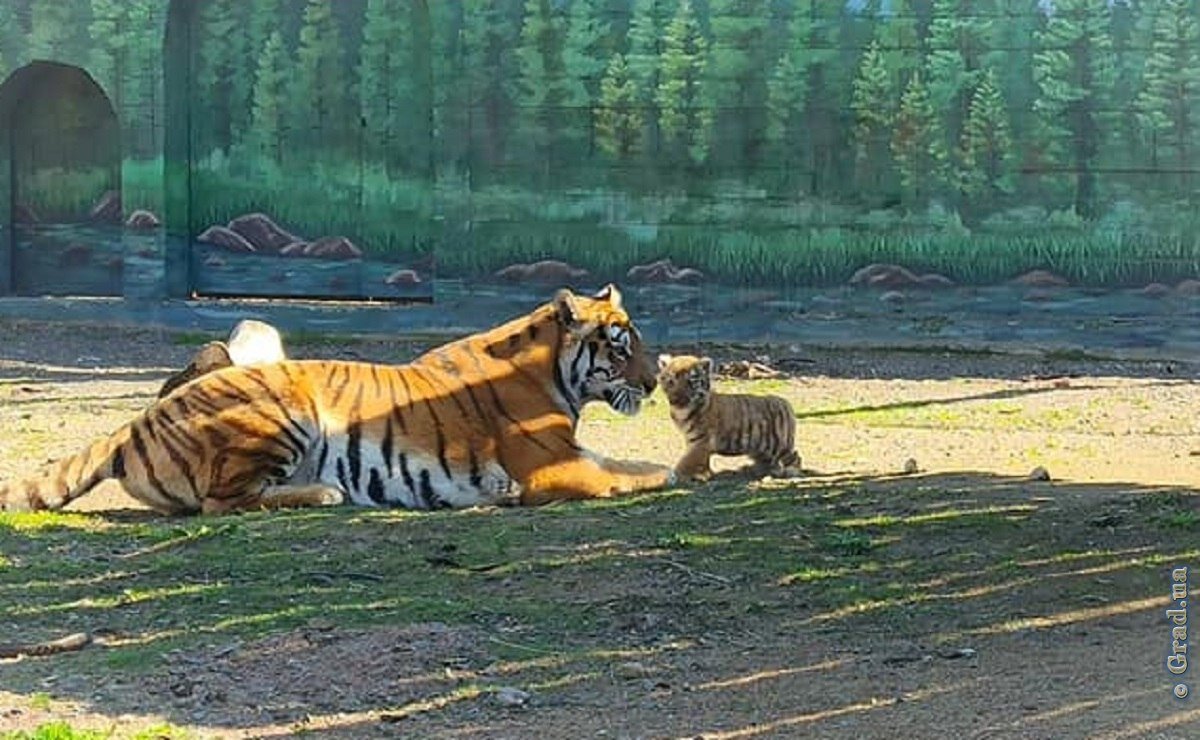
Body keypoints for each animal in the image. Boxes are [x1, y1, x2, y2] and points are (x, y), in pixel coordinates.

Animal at [0, 283, 676, 513]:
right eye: (622, 347)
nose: (653, 380)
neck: (554, 374)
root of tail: (137, 421)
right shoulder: (554, 466)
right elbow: (632, 473)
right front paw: (663, 474)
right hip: (284, 410)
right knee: (224, 502)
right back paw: (325, 492)